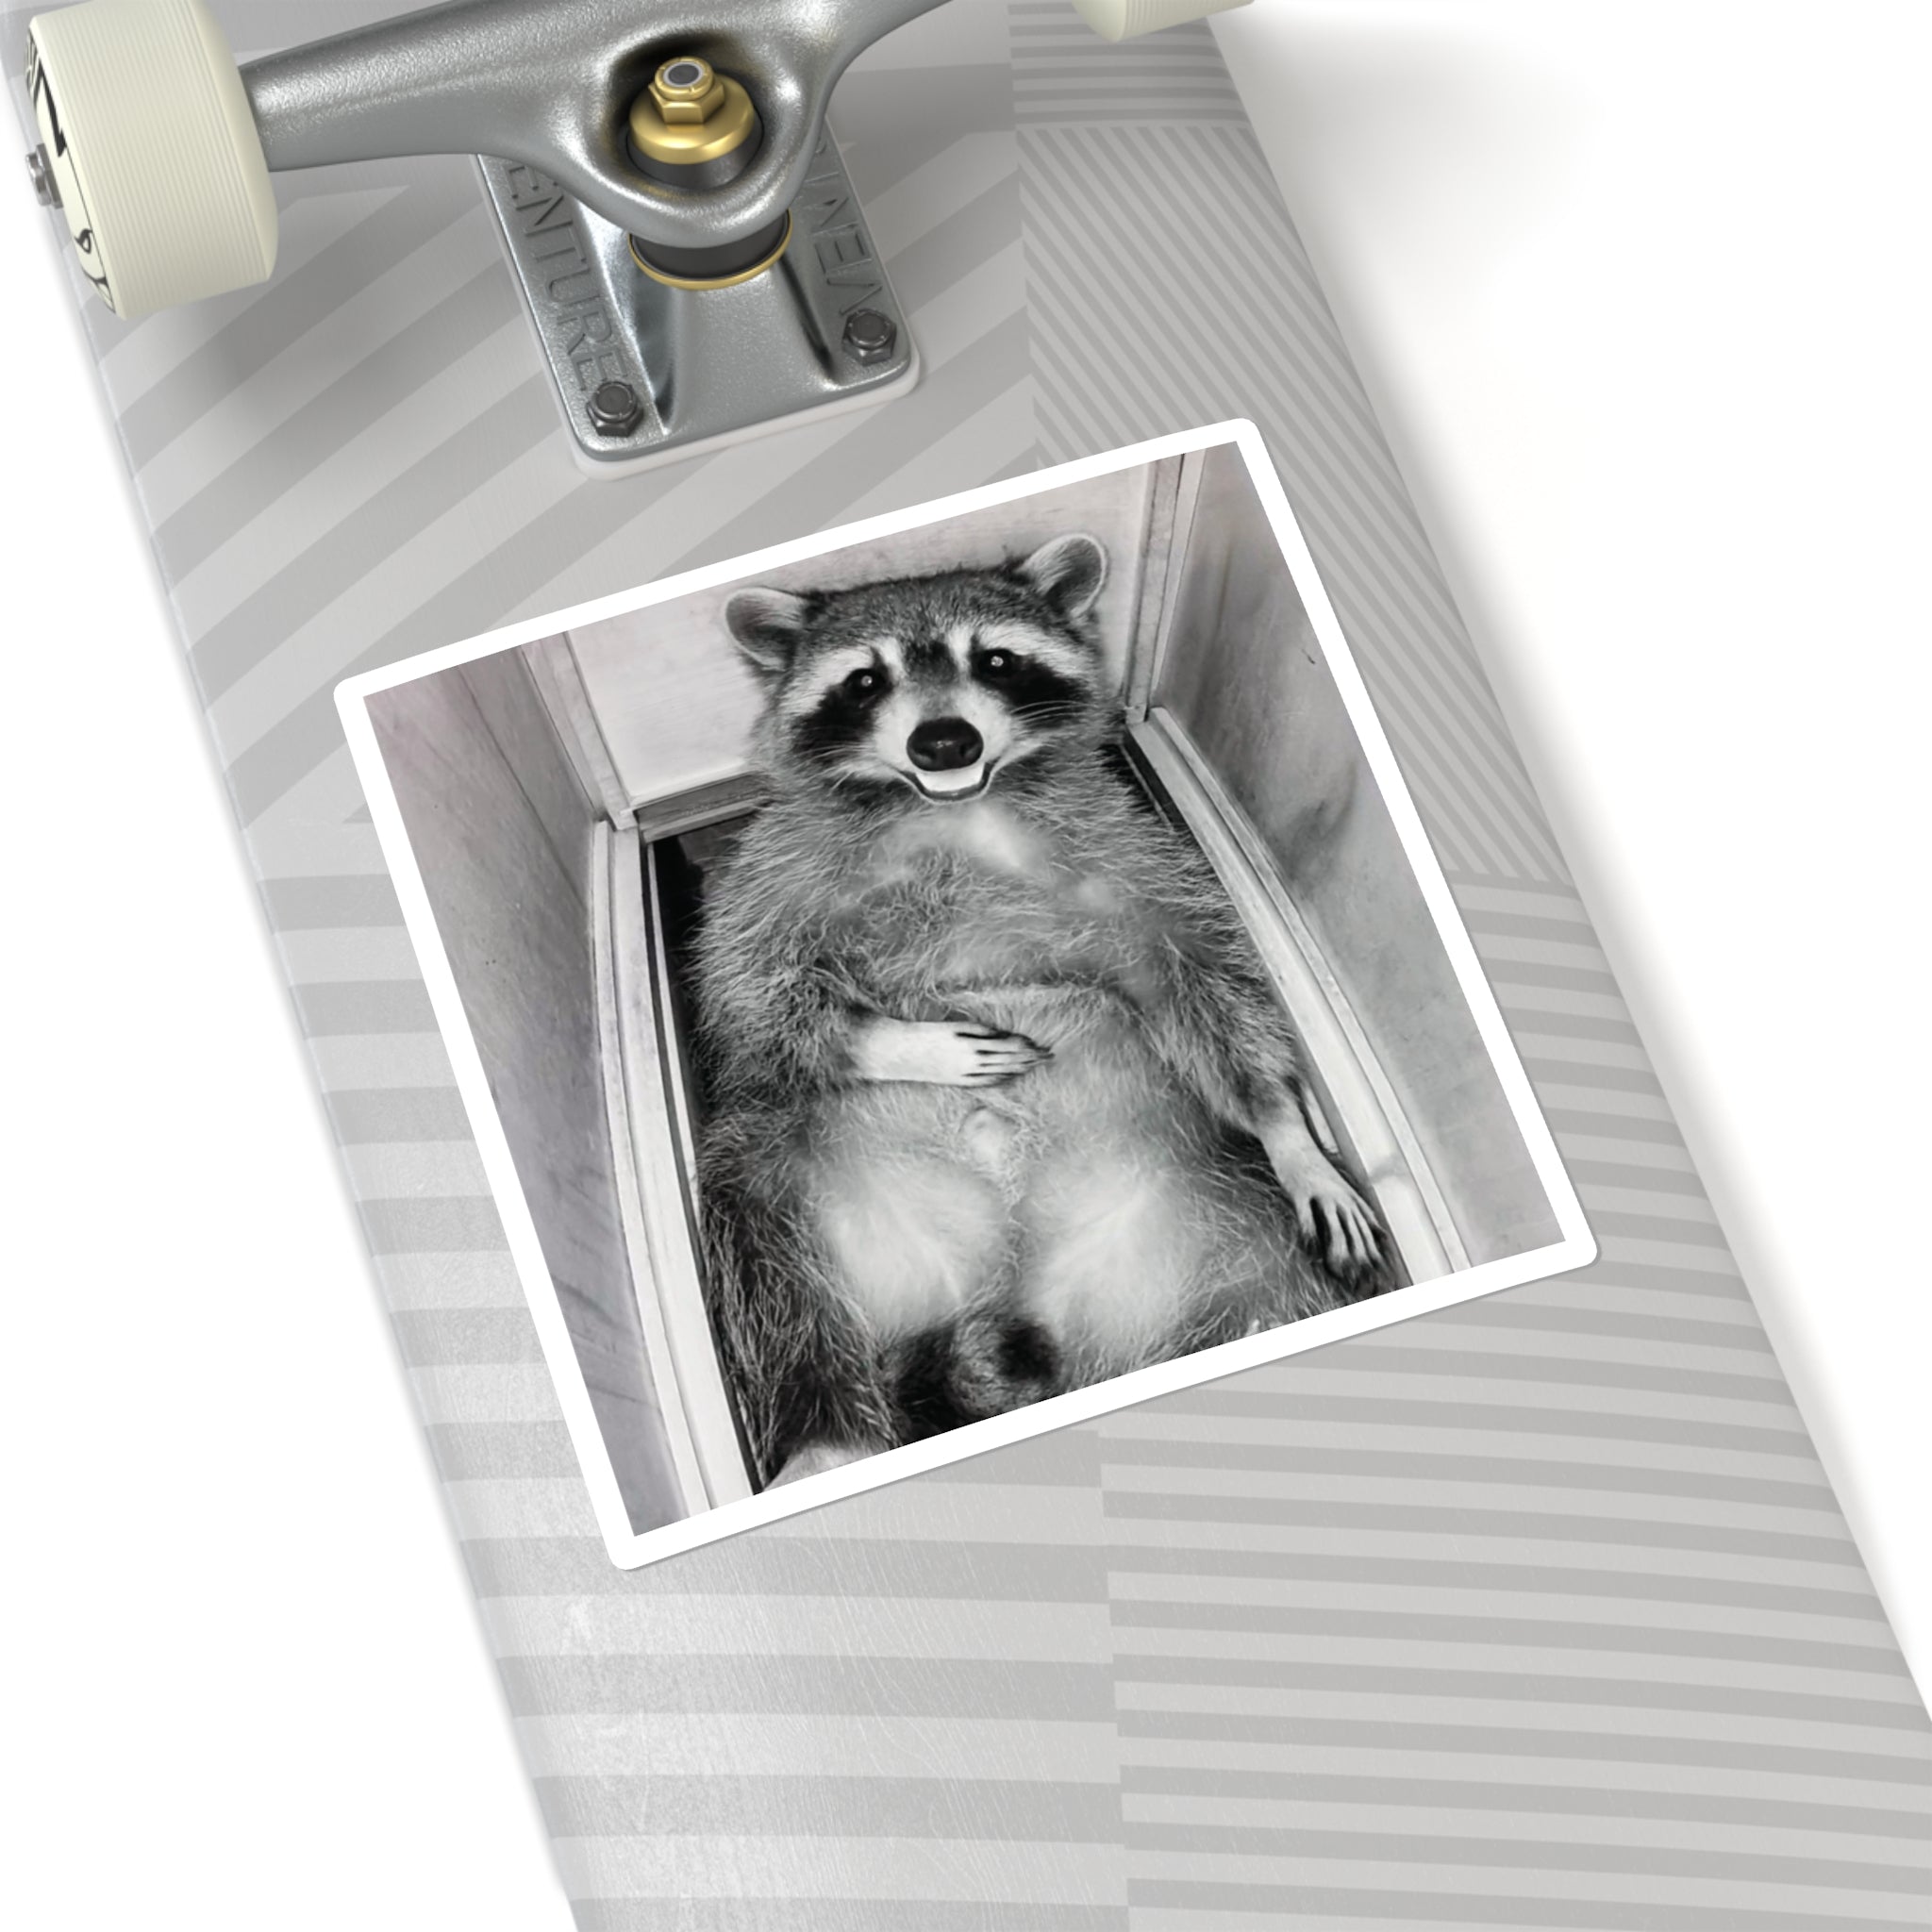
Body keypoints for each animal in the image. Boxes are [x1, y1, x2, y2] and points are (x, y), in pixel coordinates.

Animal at [692, 534, 1392, 1488]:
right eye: (865, 680)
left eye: (993, 659)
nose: (943, 740)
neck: (951, 809)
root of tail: (1018, 1287)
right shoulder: (769, 869)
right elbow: (748, 1002)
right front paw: (903, 1043)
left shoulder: (1133, 849)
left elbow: (1203, 974)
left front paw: (1286, 1125)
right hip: (814, 1186)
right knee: (756, 1226)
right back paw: (822, 1429)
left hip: (1207, 1205)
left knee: (1273, 1280)